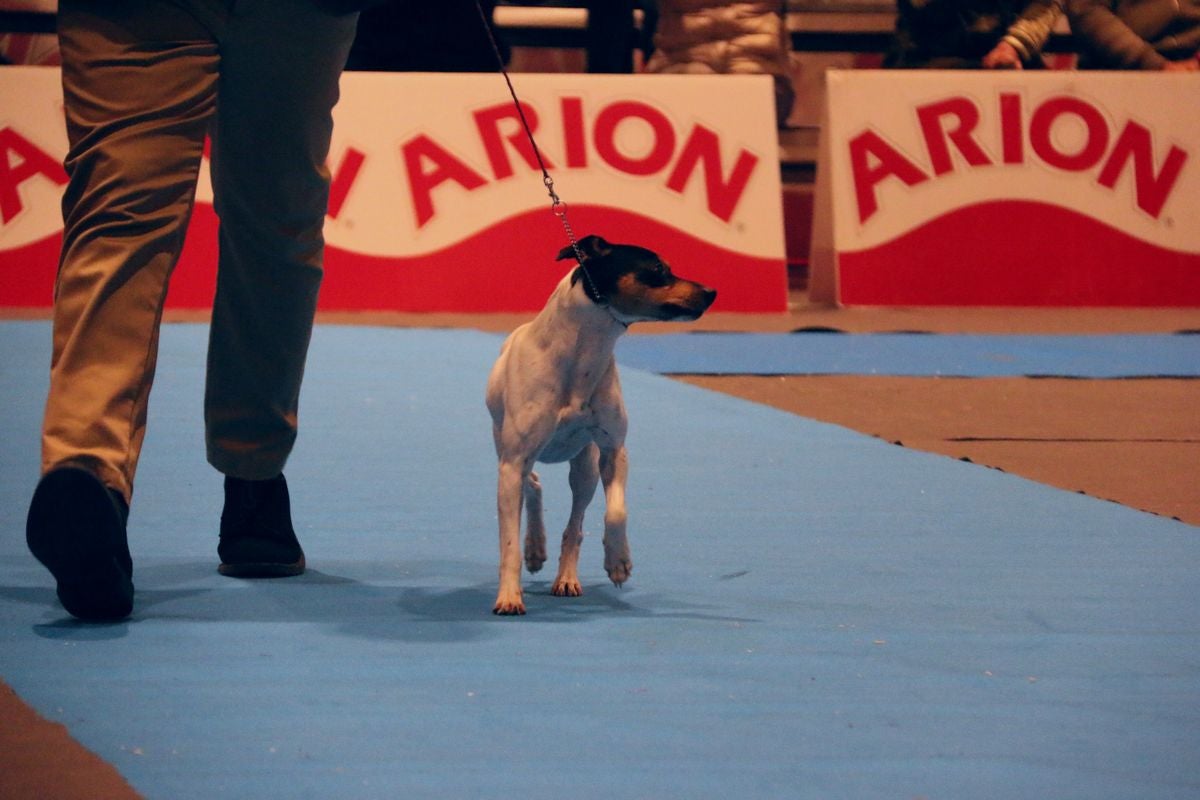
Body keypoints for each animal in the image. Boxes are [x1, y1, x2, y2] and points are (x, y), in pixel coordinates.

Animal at [484, 235, 715, 618]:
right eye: (658, 269)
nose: (711, 291)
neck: (579, 358)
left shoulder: (612, 450)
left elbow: (617, 512)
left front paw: (618, 561)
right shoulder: (513, 462)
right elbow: (507, 543)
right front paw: (509, 595)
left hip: (584, 468)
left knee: (573, 523)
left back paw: (565, 576)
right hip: (509, 453)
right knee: (532, 484)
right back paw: (535, 547)